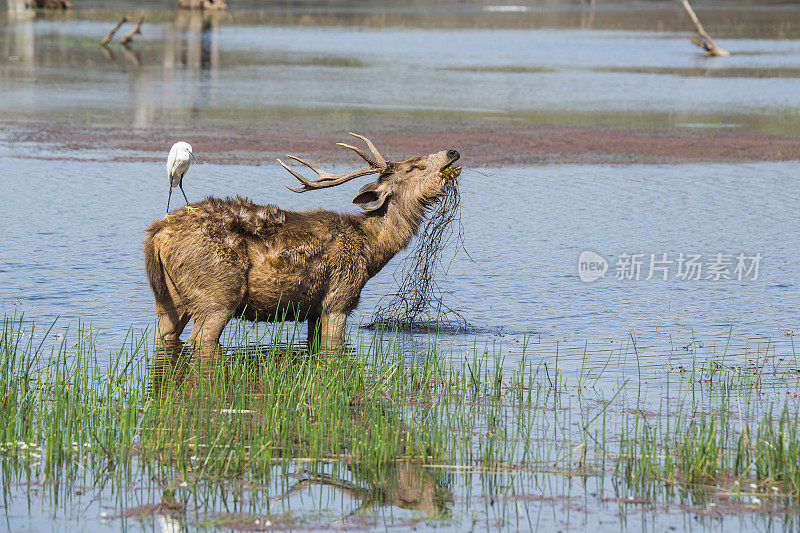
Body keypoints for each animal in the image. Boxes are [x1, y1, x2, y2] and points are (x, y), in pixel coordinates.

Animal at [141, 133, 460, 358]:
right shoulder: (339, 299)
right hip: (217, 294)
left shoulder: (313, 310)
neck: (371, 251)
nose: (453, 151)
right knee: (201, 340)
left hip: (168, 299)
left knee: (164, 336)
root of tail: (156, 234)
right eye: (415, 165)